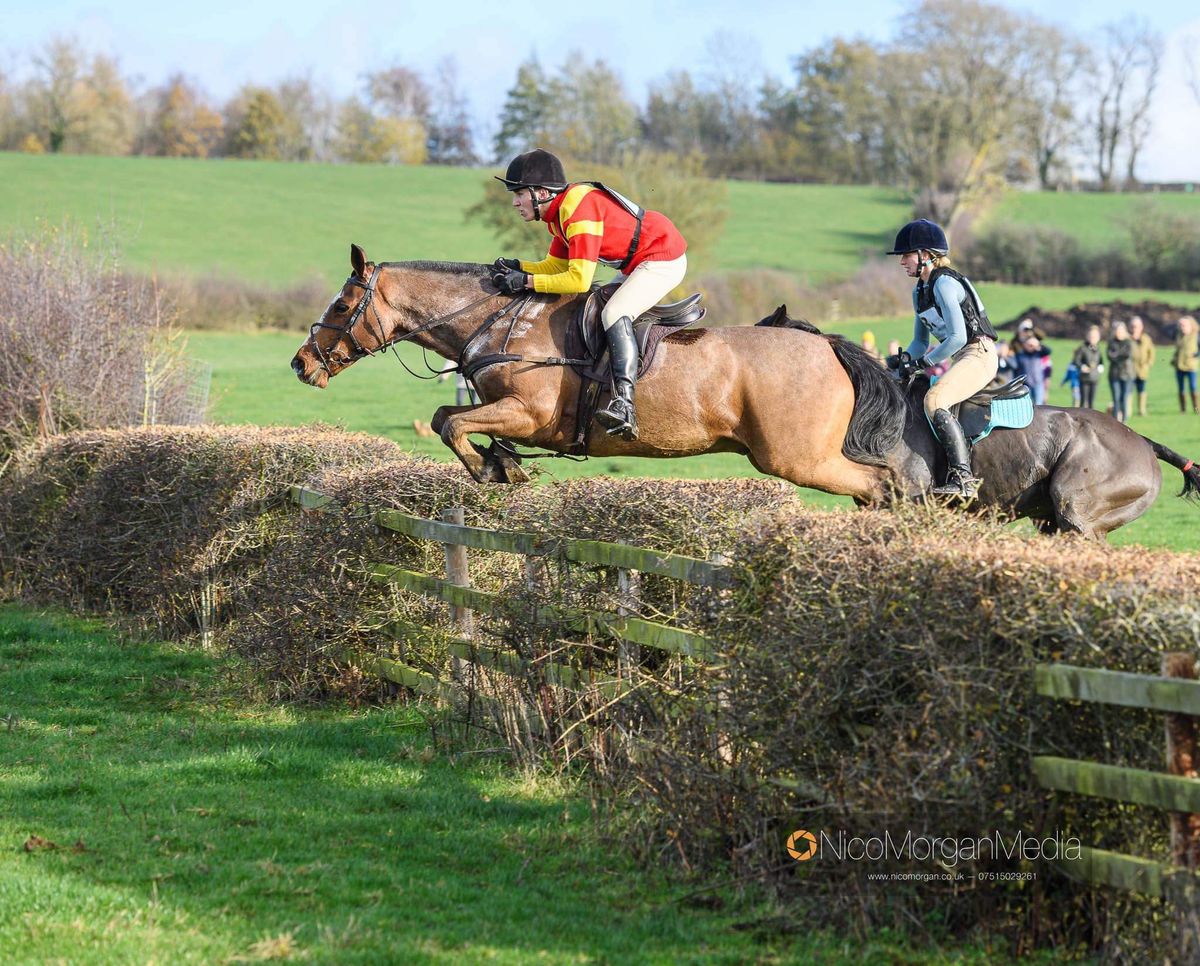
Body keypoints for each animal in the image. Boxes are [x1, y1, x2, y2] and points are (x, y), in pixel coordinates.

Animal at [292, 244, 1200, 540]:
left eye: (340, 304)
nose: (302, 364)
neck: (498, 319)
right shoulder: (518, 414)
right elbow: (459, 418)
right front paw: (504, 468)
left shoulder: (530, 407)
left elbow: (450, 418)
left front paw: (495, 471)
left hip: (796, 456)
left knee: (885, 484)